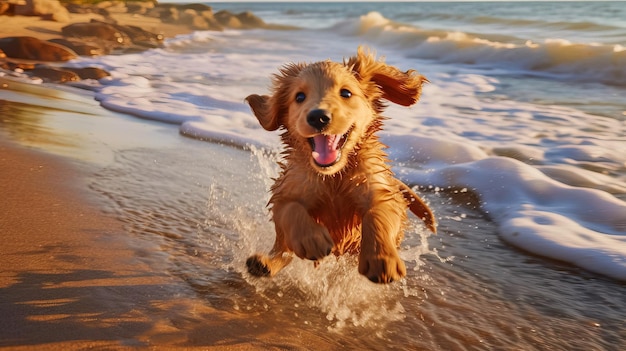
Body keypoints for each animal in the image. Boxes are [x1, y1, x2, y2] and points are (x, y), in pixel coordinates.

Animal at [244, 47, 434, 284]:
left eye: (346, 93)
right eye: (299, 97)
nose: (318, 117)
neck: (334, 176)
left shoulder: (379, 189)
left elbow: (379, 213)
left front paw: (382, 259)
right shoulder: (287, 189)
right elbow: (291, 210)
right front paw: (312, 239)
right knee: (283, 250)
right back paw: (264, 264)